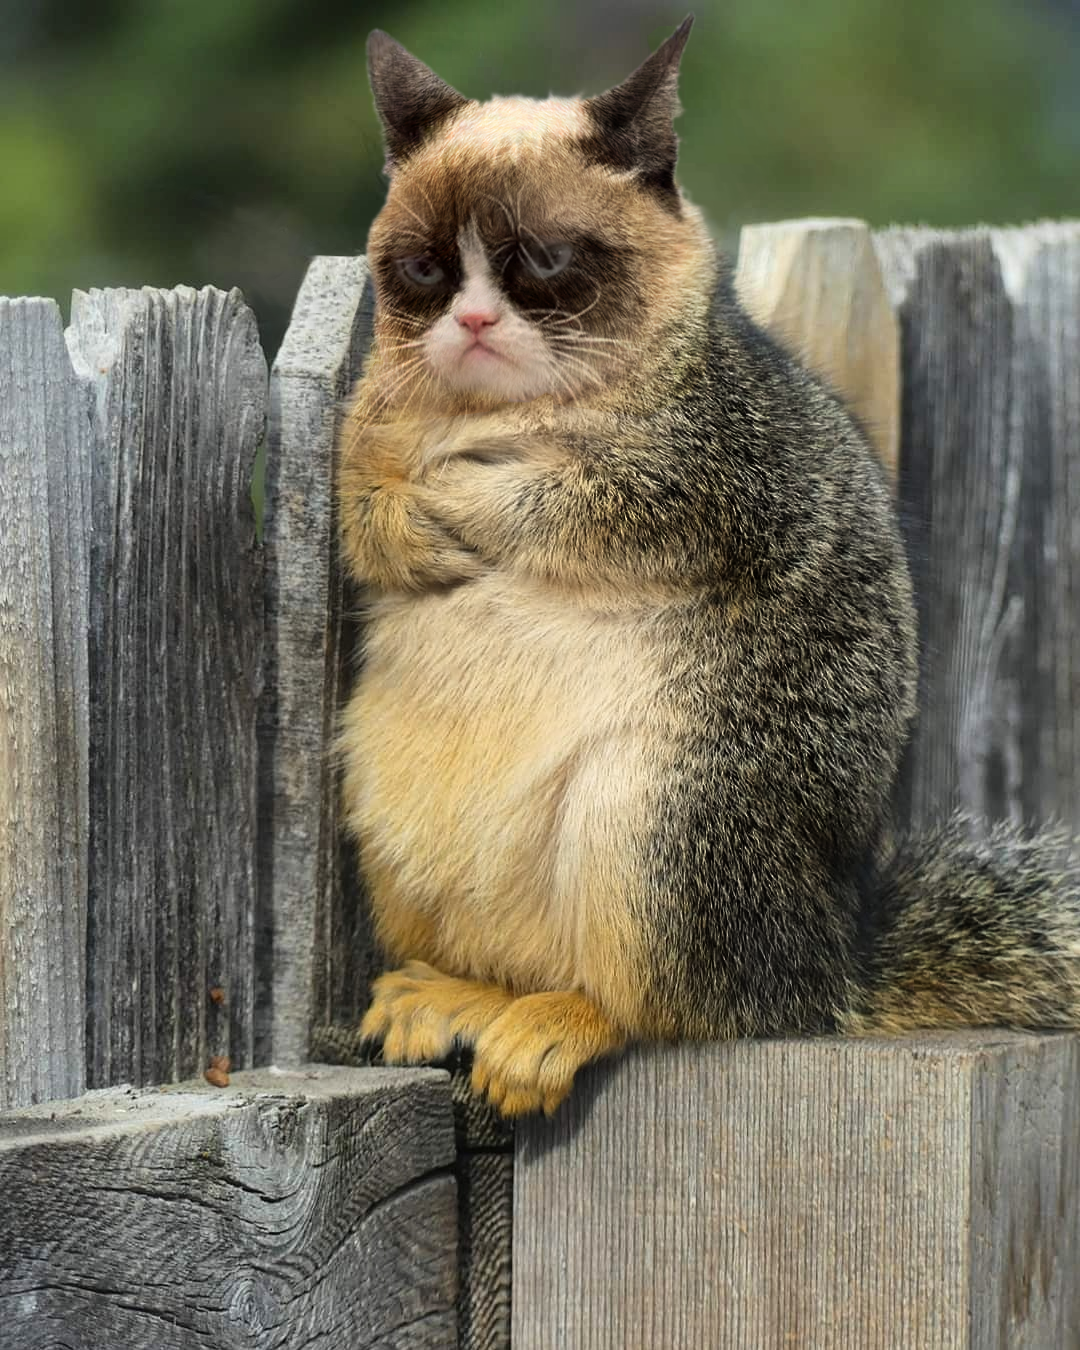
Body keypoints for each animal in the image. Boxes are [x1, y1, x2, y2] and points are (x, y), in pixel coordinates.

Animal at [334, 21, 1080, 1117]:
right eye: (420, 267)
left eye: (548, 256)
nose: (468, 323)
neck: (497, 413)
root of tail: (824, 970)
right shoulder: (362, 435)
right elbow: (359, 513)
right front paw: (410, 526)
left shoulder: (722, 467)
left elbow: (589, 506)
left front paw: (470, 499)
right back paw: (458, 993)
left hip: (662, 828)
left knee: (674, 1009)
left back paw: (564, 1023)